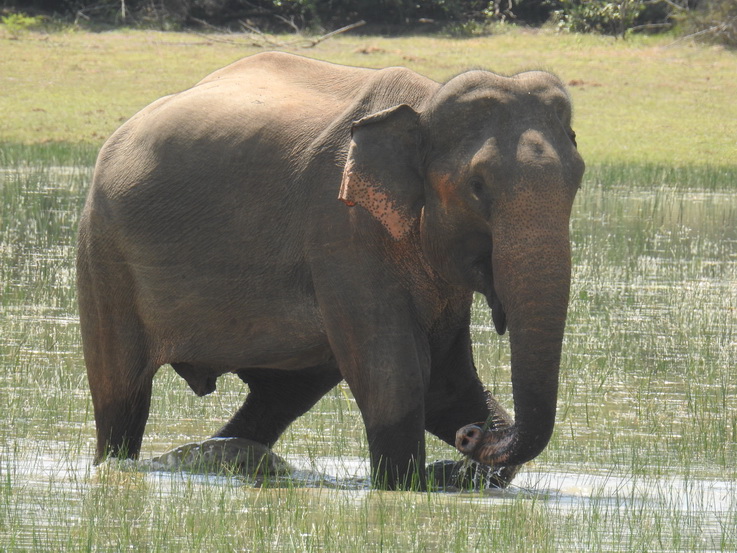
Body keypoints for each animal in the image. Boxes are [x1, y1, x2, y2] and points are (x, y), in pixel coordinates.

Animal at [77, 51, 584, 490]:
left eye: (578, 179)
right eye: (477, 186)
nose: (471, 436)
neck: (424, 105)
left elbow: (446, 383)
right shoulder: (341, 232)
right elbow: (397, 378)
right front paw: (402, 486)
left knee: (283, 396)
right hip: (104, 252)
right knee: (120, 395)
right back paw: (122, 462)